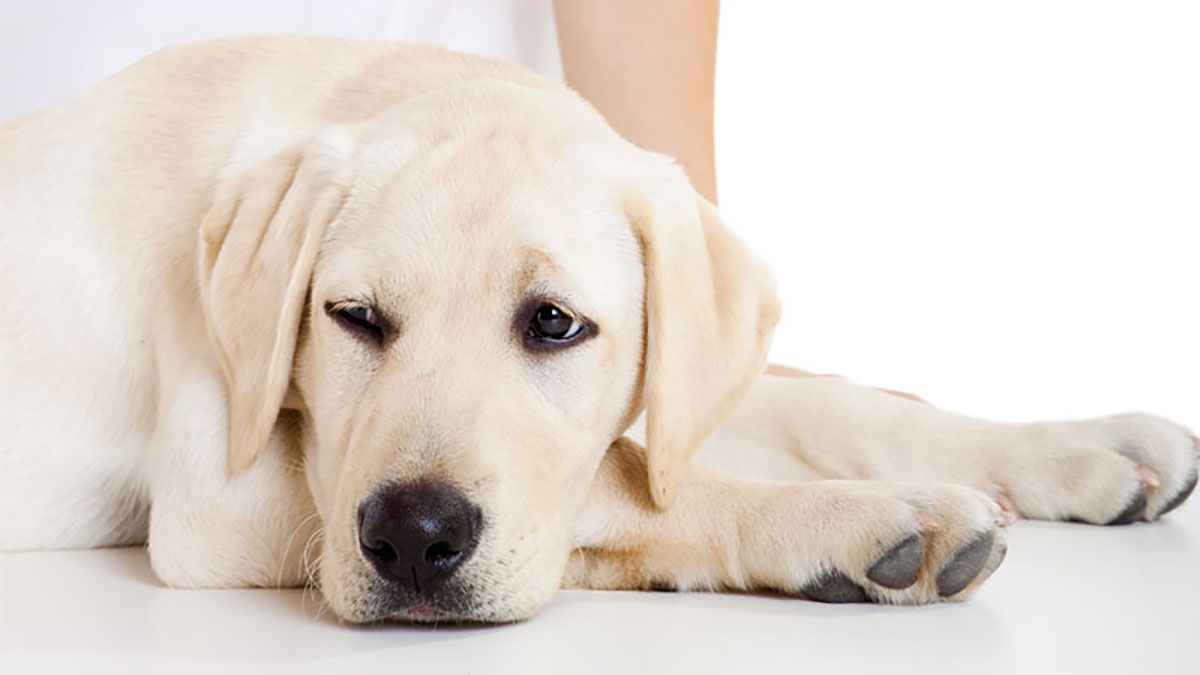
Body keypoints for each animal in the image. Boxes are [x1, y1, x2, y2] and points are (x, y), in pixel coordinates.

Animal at [0, 34, 1195, 619]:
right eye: (352, 317)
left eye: (554, 323)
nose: (413, 541)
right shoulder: (223, 499)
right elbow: (624, 479)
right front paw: (863, 521)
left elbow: (828, 403)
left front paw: (1083, 446)